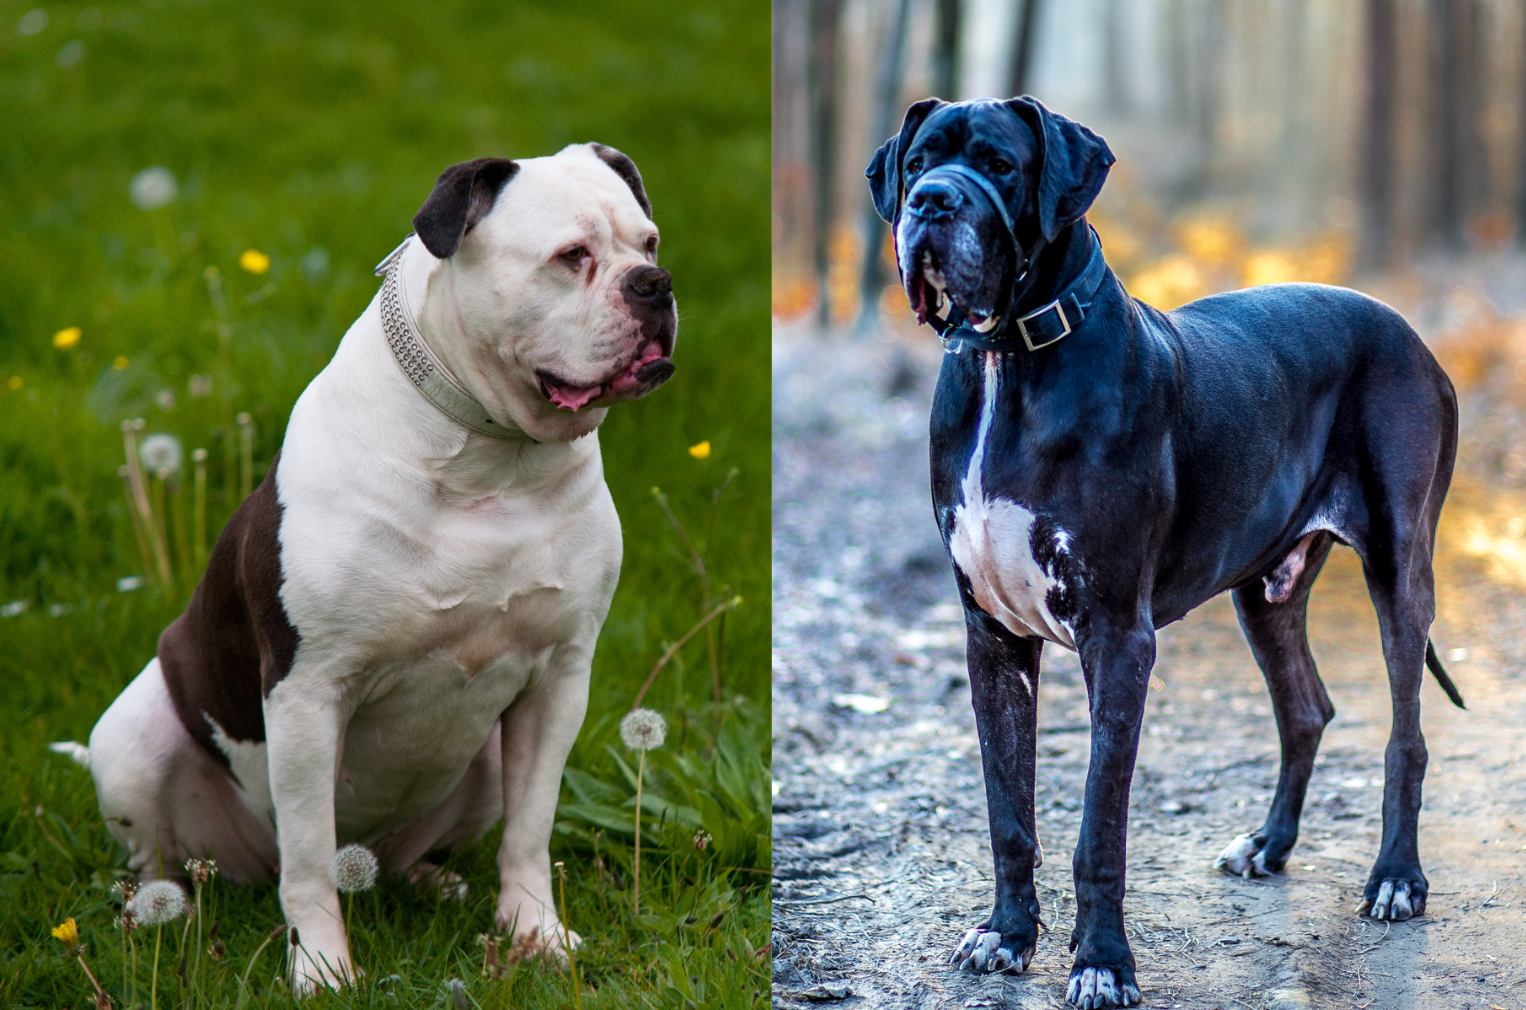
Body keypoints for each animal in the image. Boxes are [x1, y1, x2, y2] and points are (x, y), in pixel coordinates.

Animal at [866, 96, 1458, 1010]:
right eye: (920, 160)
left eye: (999, 164)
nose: (931, 203)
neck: (1011, 360)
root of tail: (1415, 338)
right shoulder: (992, 639)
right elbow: (1009, 809)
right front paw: (1007, 934)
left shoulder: (1118, 637)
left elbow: (1098, 827)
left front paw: (1102, 962)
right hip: (1265, 589)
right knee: (1306, 709)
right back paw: (1268, 844)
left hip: (1400, 566)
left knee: (1406, 735)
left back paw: (1397, 879)